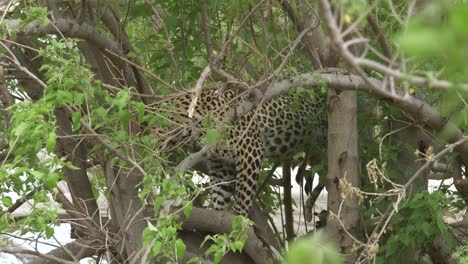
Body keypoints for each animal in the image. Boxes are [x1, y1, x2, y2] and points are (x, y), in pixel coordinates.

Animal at [154, 82, 326, 214]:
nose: (152, 150)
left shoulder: (250, 148)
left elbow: (244, 190)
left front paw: (239, 217)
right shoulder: (221, 164)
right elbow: (219, 193)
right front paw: (218, 215)